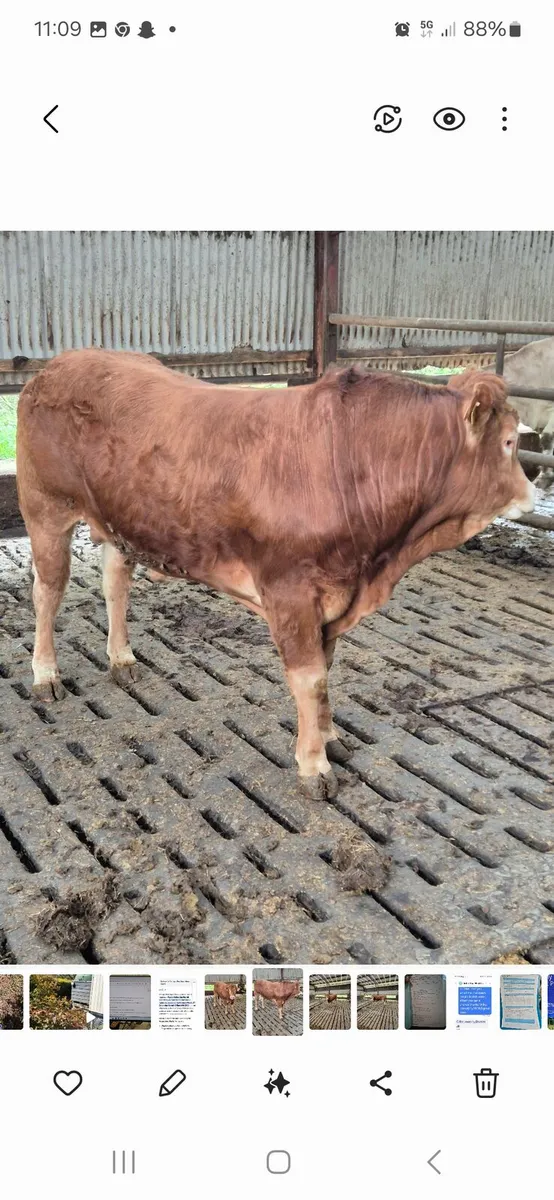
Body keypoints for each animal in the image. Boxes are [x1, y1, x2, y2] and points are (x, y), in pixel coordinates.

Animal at [16, 350, 535, 798]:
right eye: (510, 443)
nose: (531, 497)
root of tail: (60, 364)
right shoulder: (291, 591)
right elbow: (310, 679)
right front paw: (314, 766)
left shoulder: (335, 595)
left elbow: (326, 672)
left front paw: (330, 737)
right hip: (45, 508)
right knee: (48, 592)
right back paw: (45, 674)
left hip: (119, 521)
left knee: (115, 582)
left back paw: (121, 658)